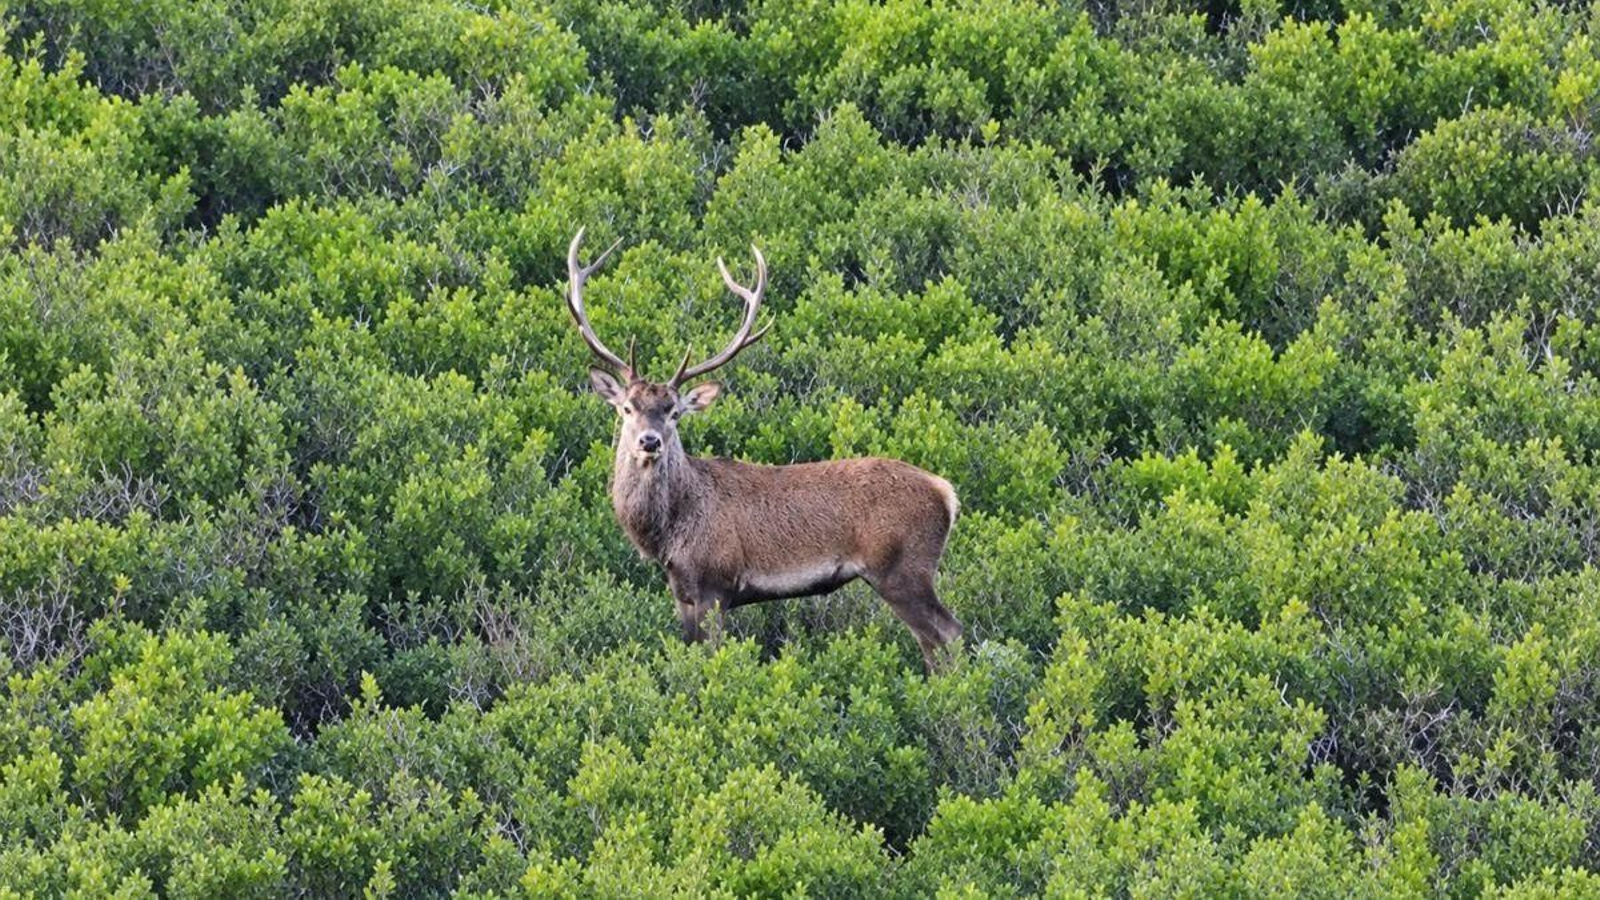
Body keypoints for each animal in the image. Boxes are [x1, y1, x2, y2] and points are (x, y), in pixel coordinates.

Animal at [565, 228, 964, 671]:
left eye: (673, 412)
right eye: (627, 407)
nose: (649, 441)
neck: (669, 533)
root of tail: (947, 493)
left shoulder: (716, 583)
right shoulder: (681, 591)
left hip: (902, 567)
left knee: (947, 633)